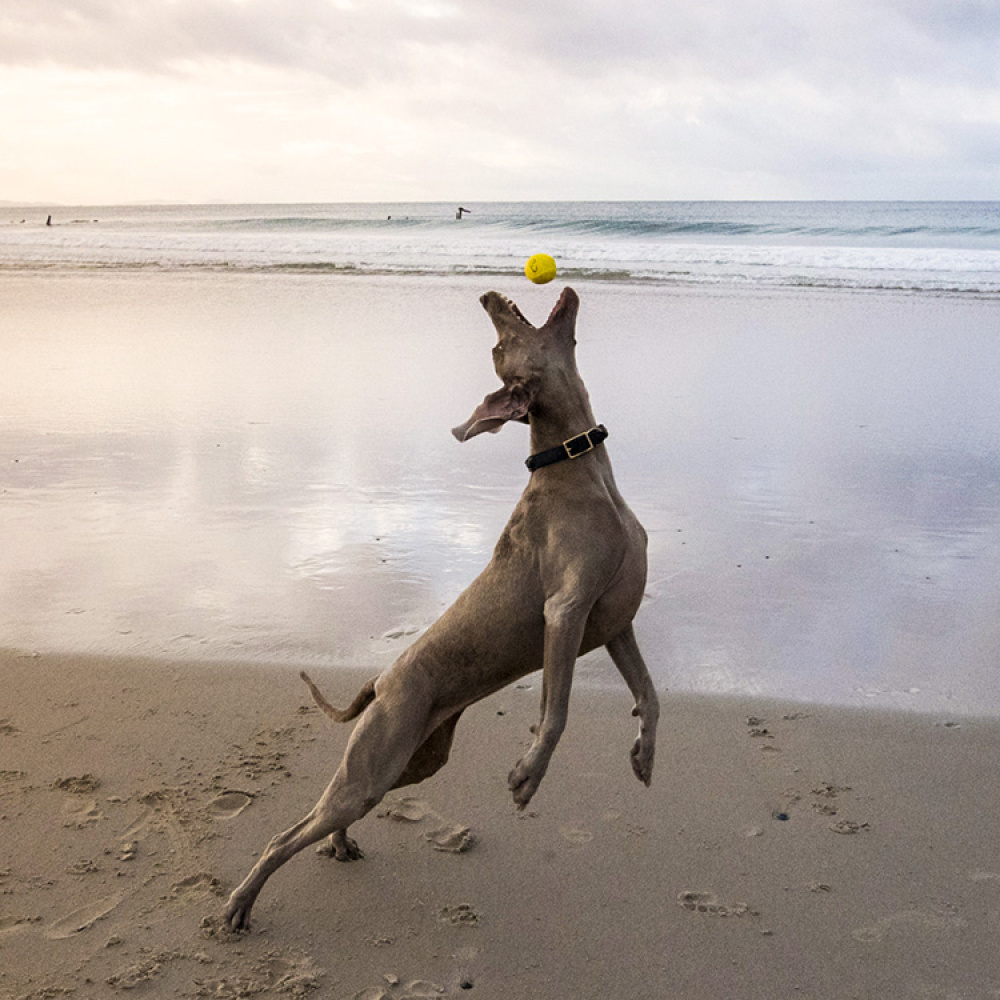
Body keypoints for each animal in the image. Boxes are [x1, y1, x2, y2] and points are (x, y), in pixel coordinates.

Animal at [228, 288, 664, 928]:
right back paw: (240, 902)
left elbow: (650, 697)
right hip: (377, 759)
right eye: (500, 347)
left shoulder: (615, 621)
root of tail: (382, 680)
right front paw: (526, 777)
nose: (486, 296)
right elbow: (556, 712)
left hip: (411, 761)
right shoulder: (565, 610)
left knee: (334, 815)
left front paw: (643, 756)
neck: (577, 465)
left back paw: (337, 844)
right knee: (288, 834)